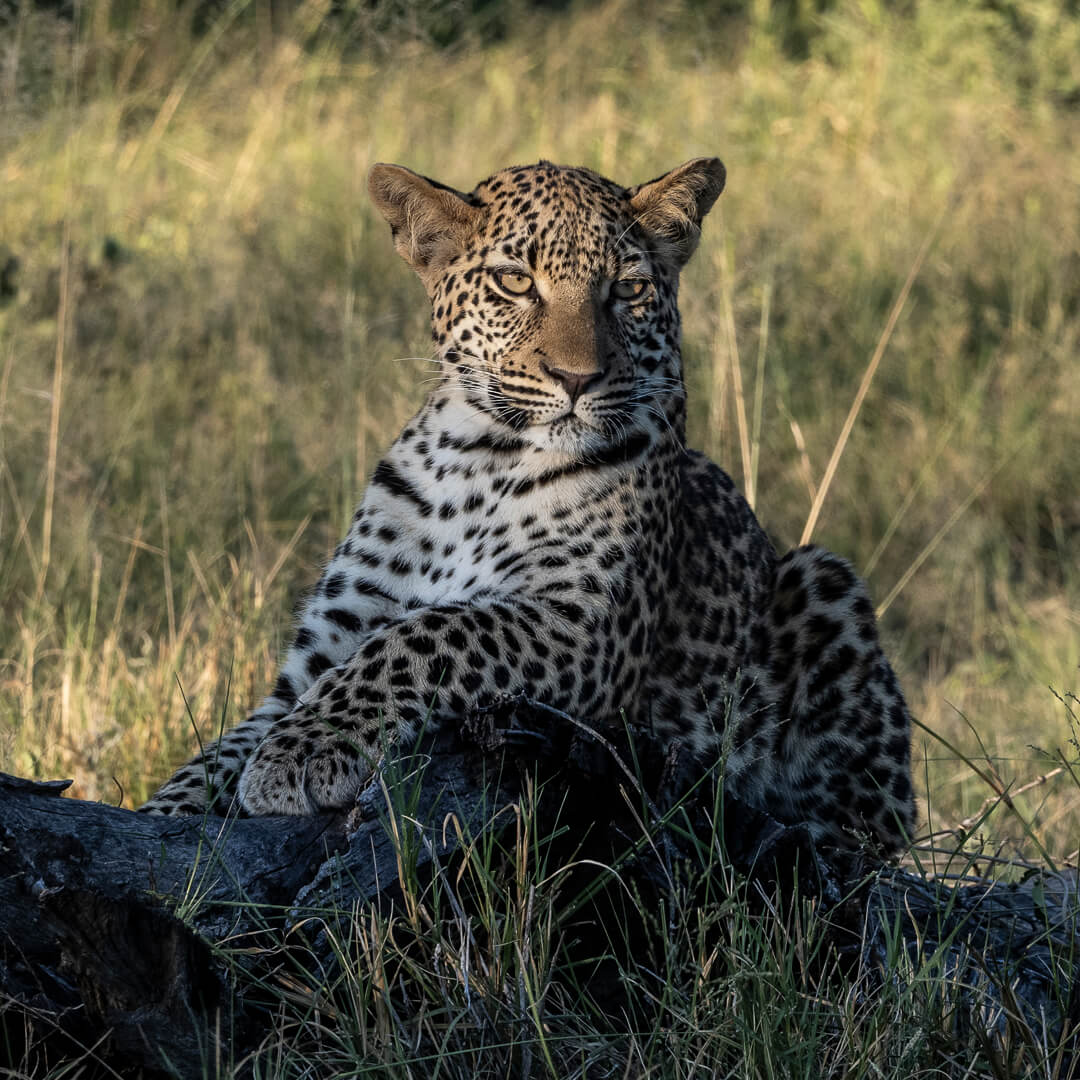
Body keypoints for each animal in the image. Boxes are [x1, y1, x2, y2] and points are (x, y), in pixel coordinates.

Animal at [143, 156, 915, 855]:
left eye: (629, 289)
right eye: (515, 282)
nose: (578, 378)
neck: (478, 460)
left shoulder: (579, 622)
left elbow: (428, 635)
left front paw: (299, 754)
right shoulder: (318, 652)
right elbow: (222, 750)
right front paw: (167, 813)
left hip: (824, 579)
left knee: (876, 827)